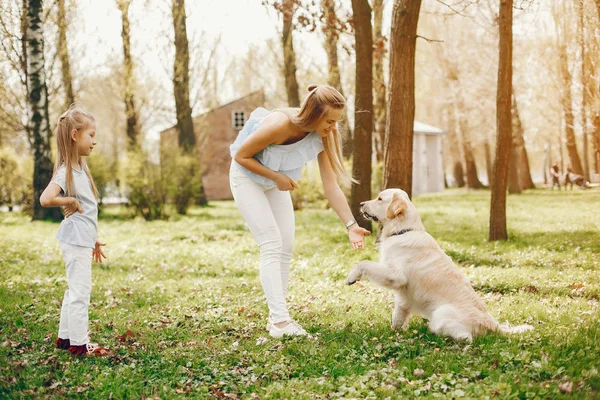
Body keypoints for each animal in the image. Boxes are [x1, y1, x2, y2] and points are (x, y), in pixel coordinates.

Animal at [344, 189, 532, 342]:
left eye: (380, 198)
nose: (360, 204)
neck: (403, 231)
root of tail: (492, 324)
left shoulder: (396, 275)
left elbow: (364, 263)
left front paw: (351, 277)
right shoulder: (404, 295)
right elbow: (398, 315)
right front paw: (394, 332)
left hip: (442, 313)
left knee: (466, 338)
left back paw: (432, 330)